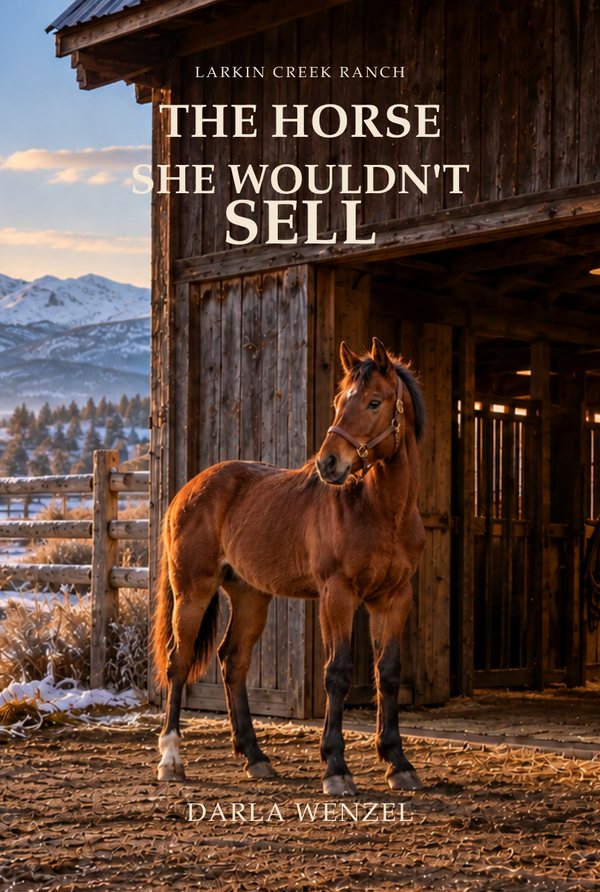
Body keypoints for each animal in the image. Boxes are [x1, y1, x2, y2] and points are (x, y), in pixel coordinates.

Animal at [153, 337, 426, 796]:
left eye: (374, 402)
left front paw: (398, 763)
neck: (378, 511)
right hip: (192, 591)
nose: (328, 463)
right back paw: (171, 759)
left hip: (250, 595)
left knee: (233, 661)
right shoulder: (337, 595)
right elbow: (337, 672)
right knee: (179, 661)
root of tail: (189, 488)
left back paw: (255, 757)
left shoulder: (394, 597)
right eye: (339, 401)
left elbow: (387, 672)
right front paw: (336, 768)